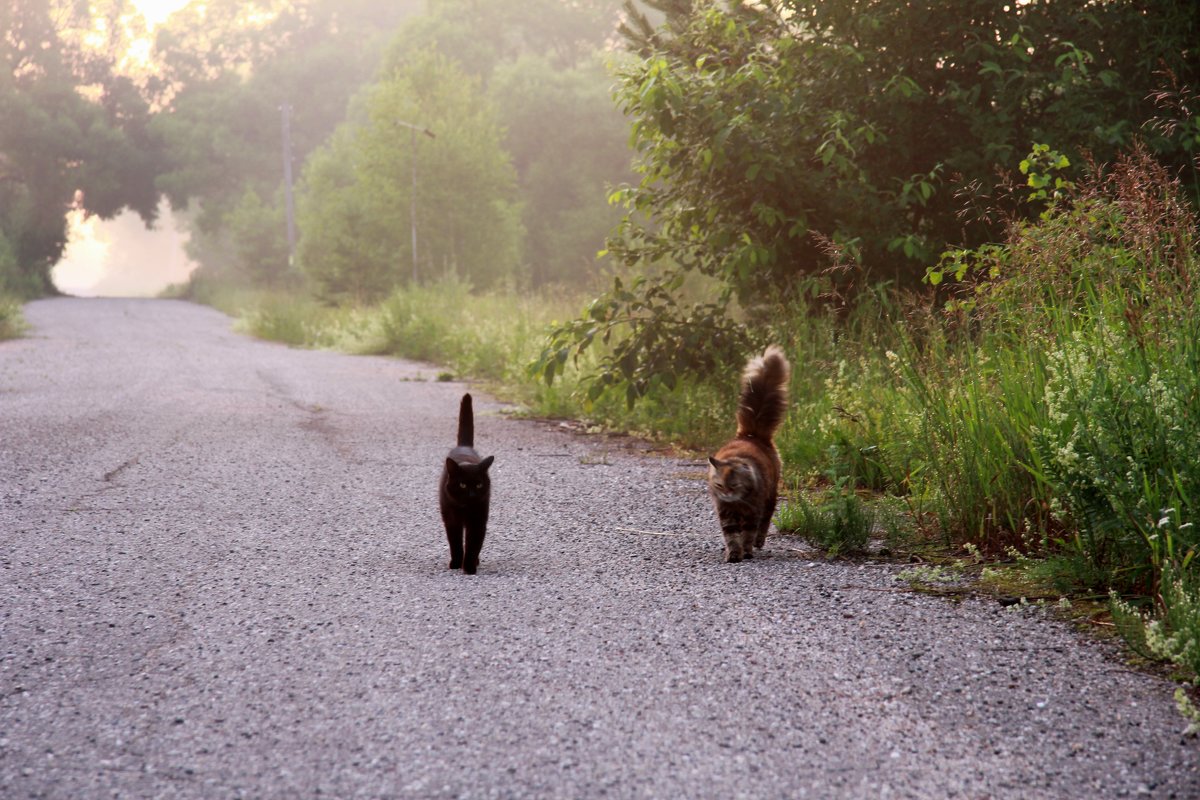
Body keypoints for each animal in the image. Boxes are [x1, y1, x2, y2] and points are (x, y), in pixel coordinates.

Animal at [439, 395, 494, 575]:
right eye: (462, 485)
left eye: (478, 485)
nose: (472, 495)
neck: (465, 509)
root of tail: (464, 446)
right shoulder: (451, 520)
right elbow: (455, 544)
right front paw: (456, 563)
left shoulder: (478, 520)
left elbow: (473, 544)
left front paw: (469, 567)